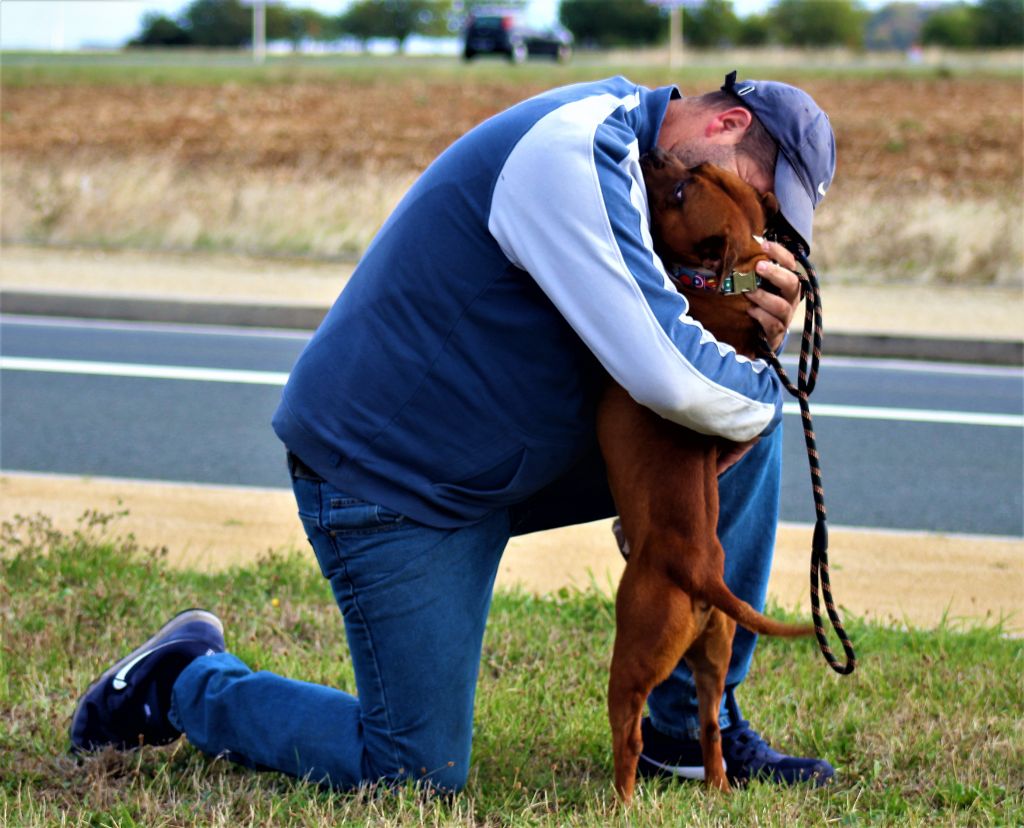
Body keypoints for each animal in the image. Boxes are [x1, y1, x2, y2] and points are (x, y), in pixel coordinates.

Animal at [598, 148, 806, 802]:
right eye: (697, 171)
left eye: (682, 193)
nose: (653, 152)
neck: (730, 278)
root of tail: (702, 575)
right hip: (711, 656)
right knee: (711, 726)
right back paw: (716, 786)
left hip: (634, 654)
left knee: (630, 734)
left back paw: (621, 801)